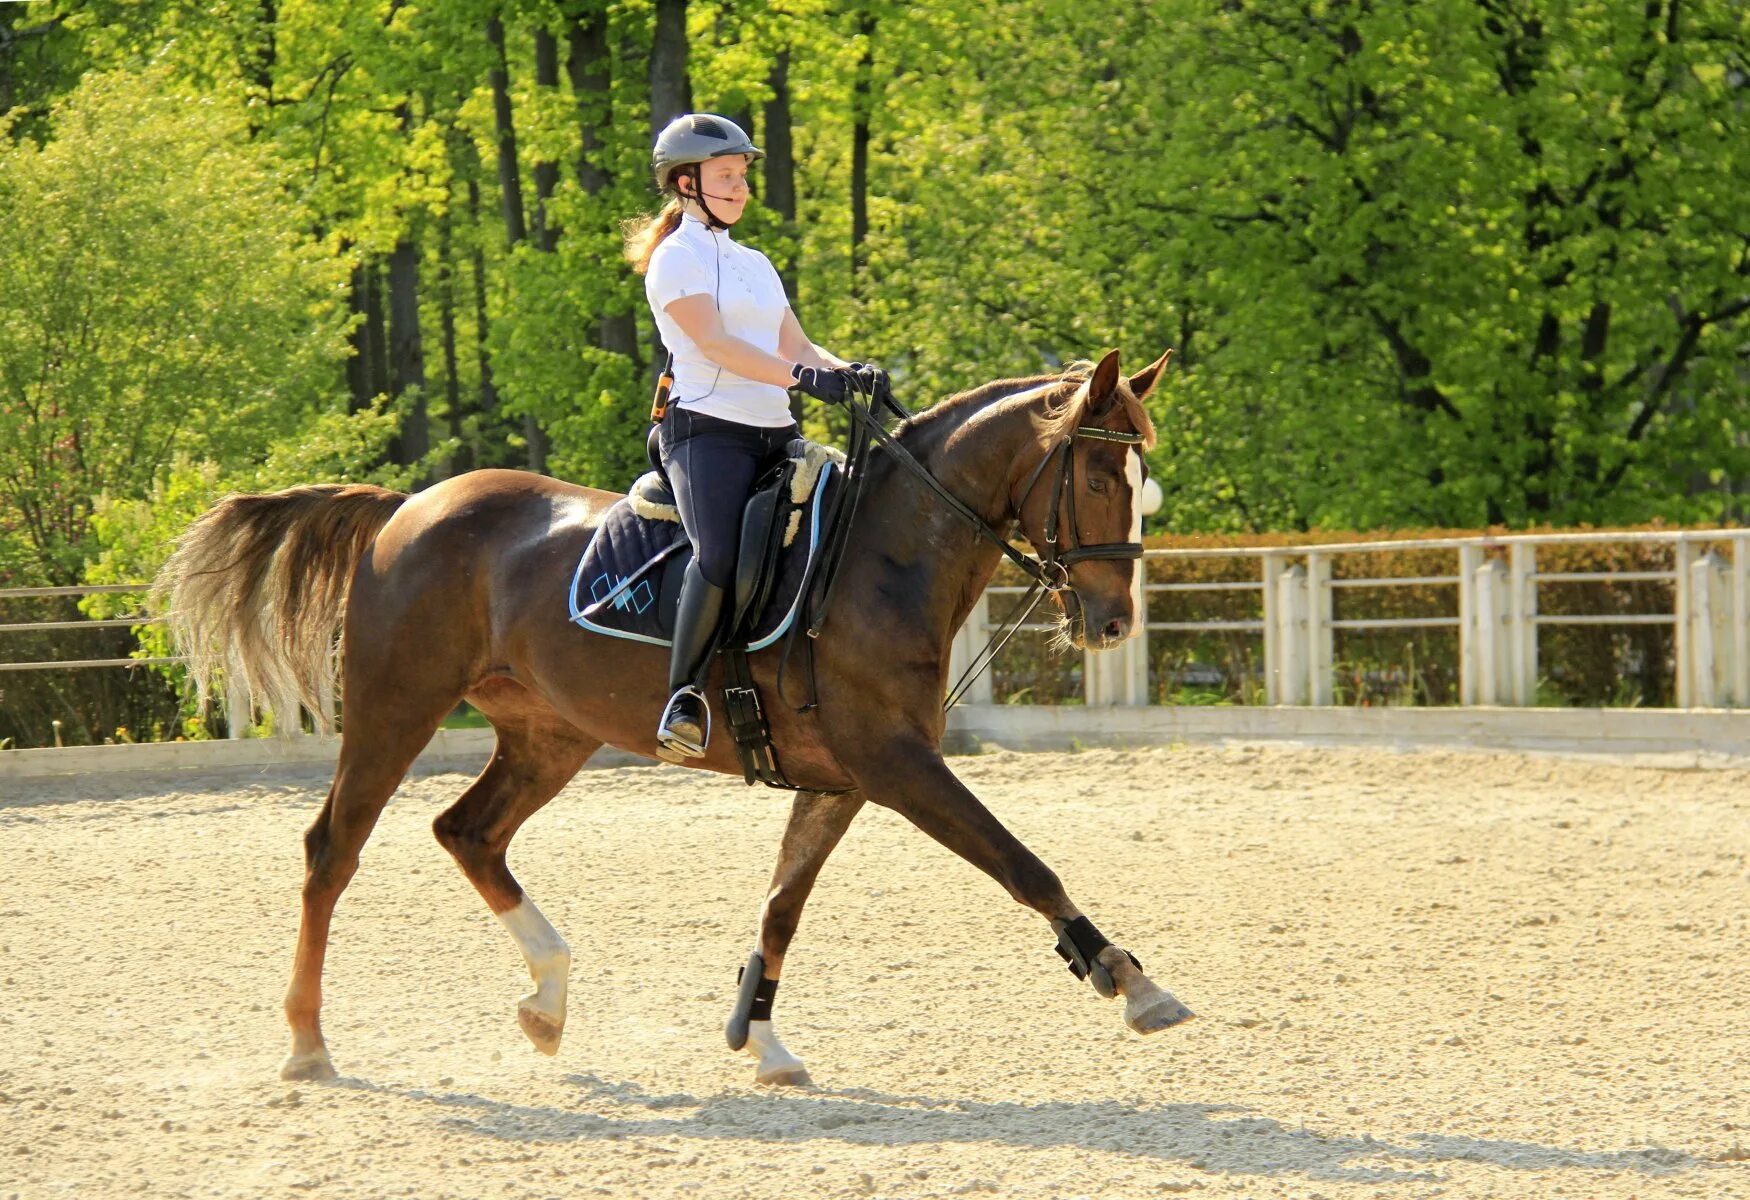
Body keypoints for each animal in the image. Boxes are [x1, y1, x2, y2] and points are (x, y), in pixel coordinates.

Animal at [157, 348, 1197, 1091]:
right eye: (1097, 477)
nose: (1112, 622)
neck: (883, 553)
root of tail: (406, 507)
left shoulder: (844, 779)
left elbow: (782, 904)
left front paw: (761, 1037)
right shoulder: (897, 765)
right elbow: (1023, 863)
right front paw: (1129, 979)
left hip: (550, 734)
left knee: (468, 833)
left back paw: (548, 999)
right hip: (395, 707)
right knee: (333, 849)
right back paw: (307, 1043)